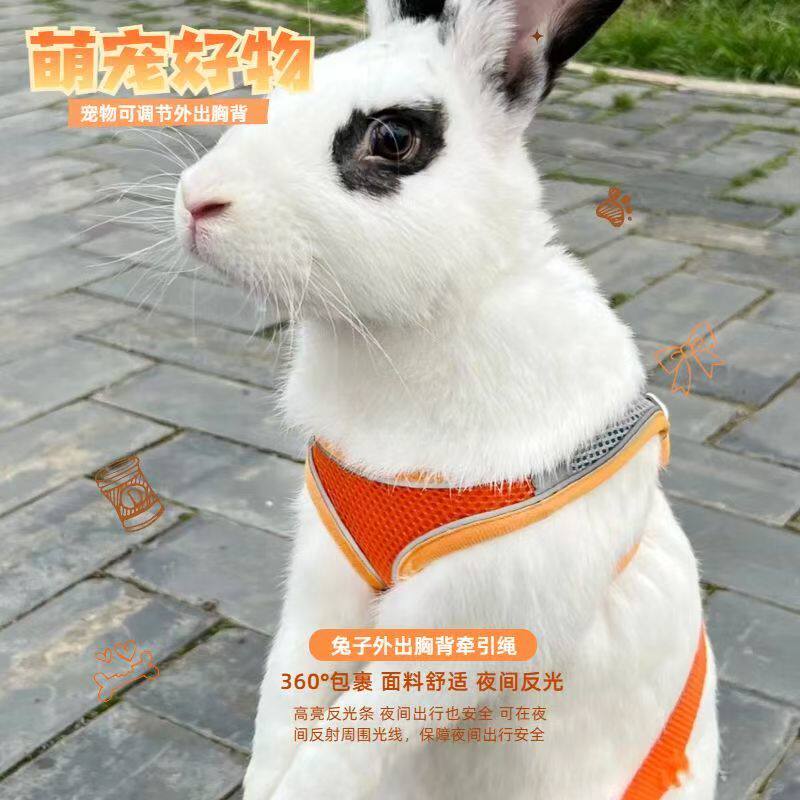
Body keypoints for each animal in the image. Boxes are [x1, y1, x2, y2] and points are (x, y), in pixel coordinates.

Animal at [174, 0, 719, 796]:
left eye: (393, 138)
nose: (196, 200)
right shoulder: (322, 578)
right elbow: (286, 704)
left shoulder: (474, 610)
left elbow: (343, 751)